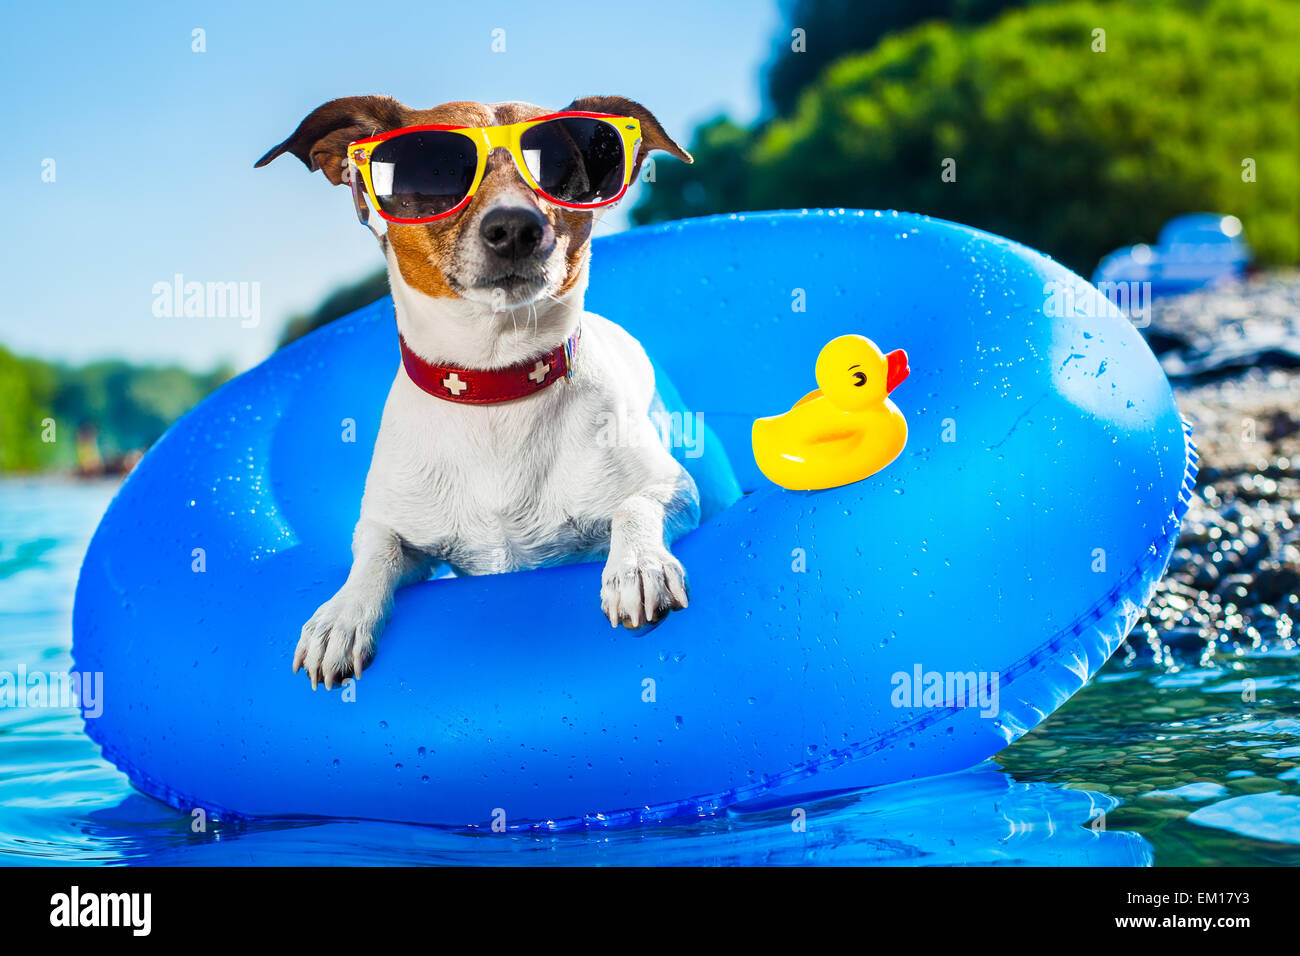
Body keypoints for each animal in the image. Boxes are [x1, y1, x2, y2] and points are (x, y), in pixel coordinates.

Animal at [256, 95, 702, 686]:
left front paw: (637, 566)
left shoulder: (675, 489)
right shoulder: (395, 529)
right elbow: (374, 553)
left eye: (560, 169)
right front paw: (342, 615)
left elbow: (635, 505)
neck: (494, 385)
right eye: (435, 170)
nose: (514, 227)